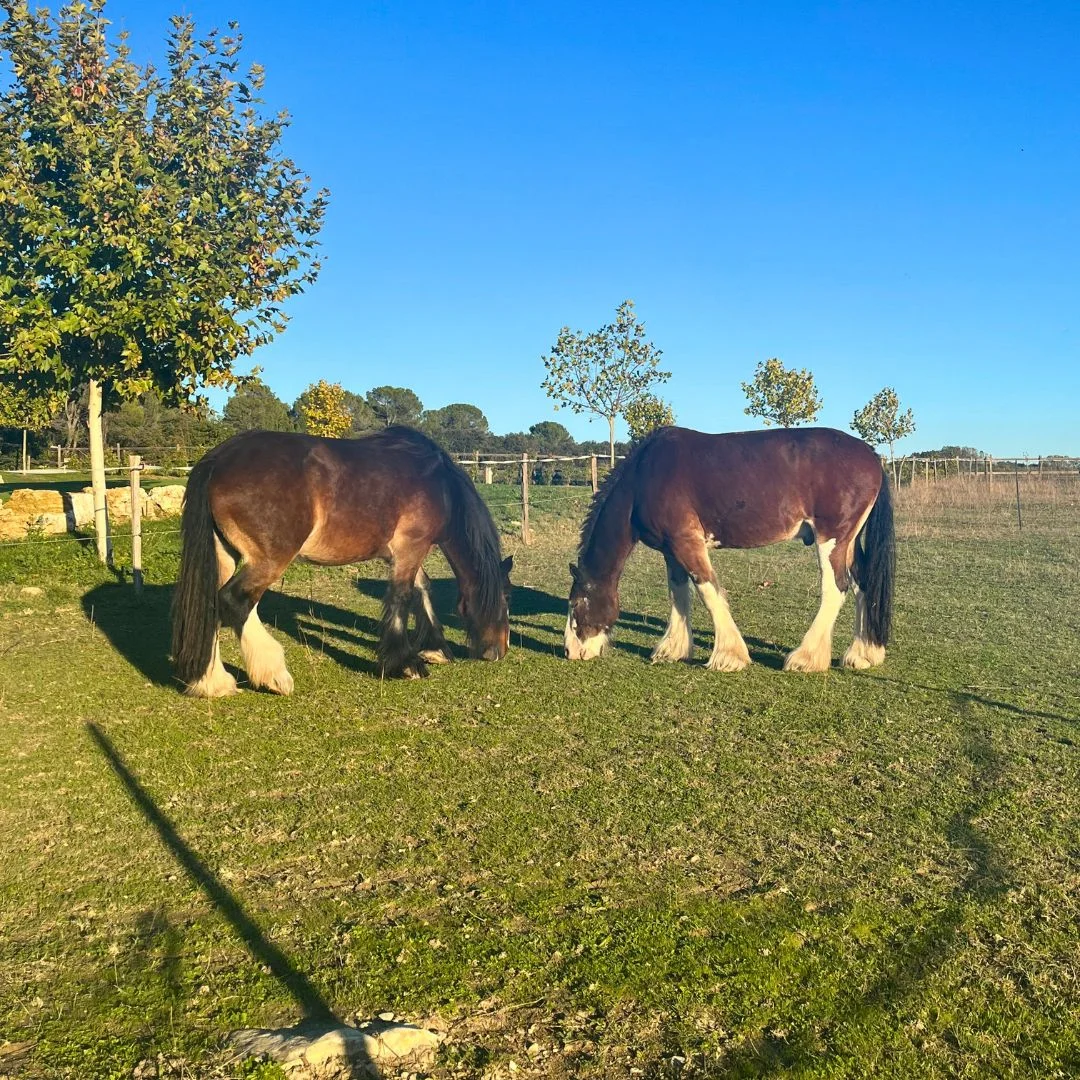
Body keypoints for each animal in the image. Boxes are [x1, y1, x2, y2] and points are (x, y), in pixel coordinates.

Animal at [172, 426, 513, 696]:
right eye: (507, 599)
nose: (499, 651)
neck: (440, 484)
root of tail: (219, 458)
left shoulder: (406, 553)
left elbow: (422, 591)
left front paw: (436, 649)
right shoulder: (412, 547)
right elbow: (402, 597)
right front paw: (405, 664)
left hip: (225, 556)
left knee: (213, 606)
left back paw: (212, 683)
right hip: (269, 561)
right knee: (235, 602)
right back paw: (273, 675)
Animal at [564, 426, 895, 672]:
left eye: (576, 604)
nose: (570, 651)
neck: (644, 477)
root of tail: (871, 455)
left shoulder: (687, 542)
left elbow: (708, 591)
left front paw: (728, 656)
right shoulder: (671, 549)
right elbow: (679, 594)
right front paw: (673, 649)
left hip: (831, 540)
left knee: (836, 589)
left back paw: (806, 658)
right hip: (849, 542)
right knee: (862, 584)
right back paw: (863, 654)